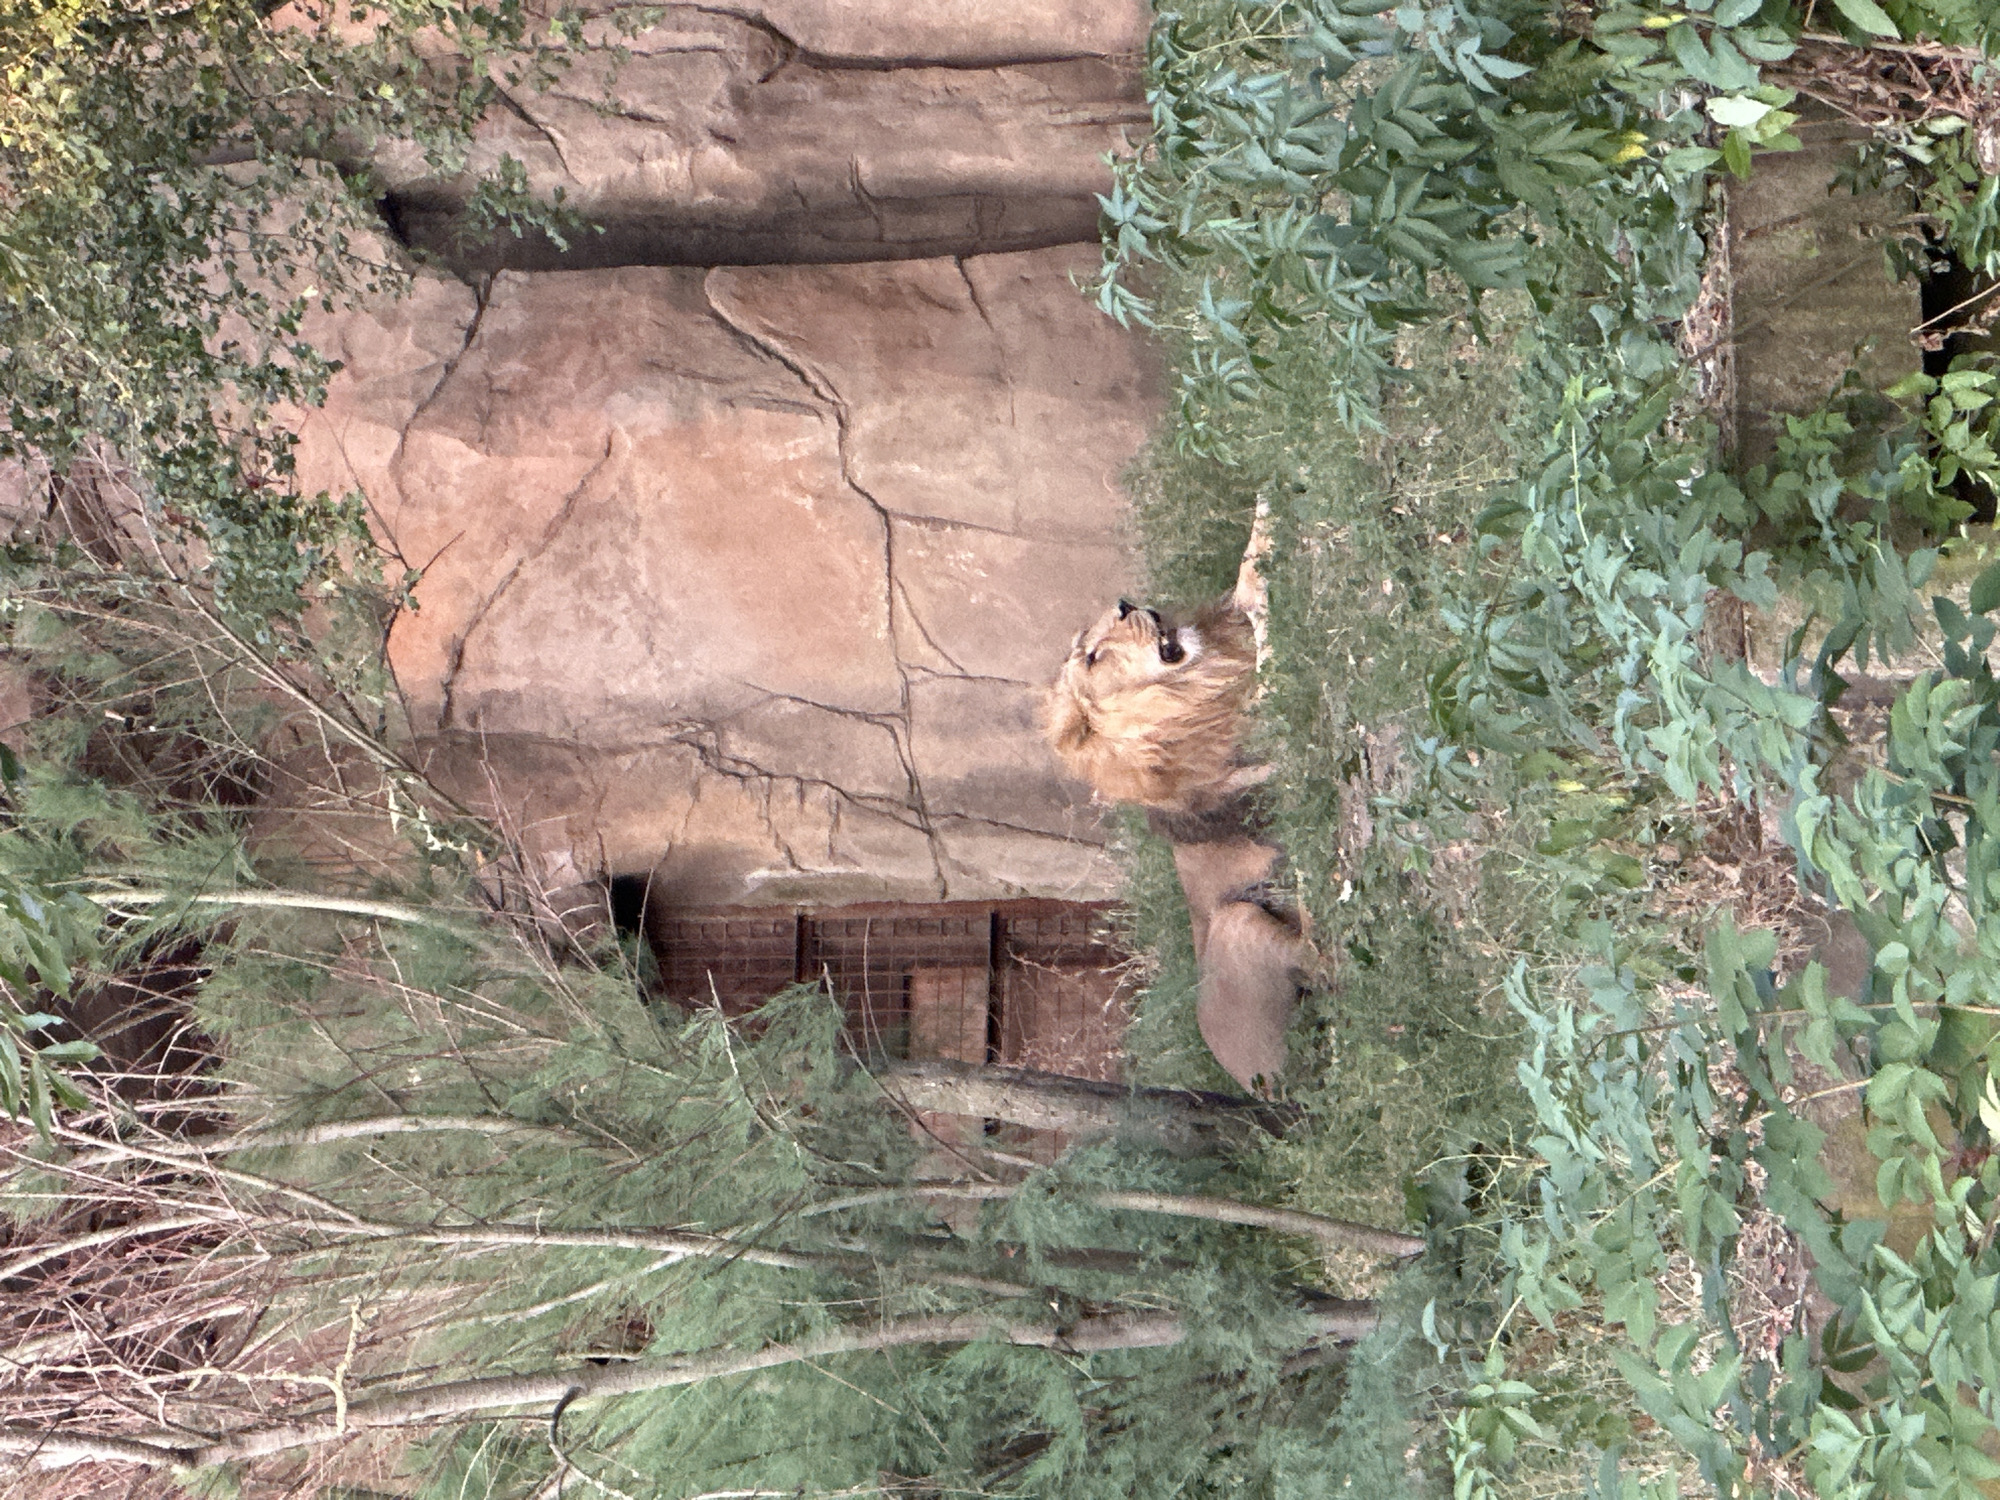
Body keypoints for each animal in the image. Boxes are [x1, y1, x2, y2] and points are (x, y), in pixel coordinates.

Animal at [1047, 514, 1309, 1094]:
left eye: (1105, 625)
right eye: (1094, 656)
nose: (1126, 604)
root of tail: (1259, 1092)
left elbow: (1245, 570)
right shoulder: (1259, 718)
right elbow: (1265, 632)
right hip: (1237, 926)